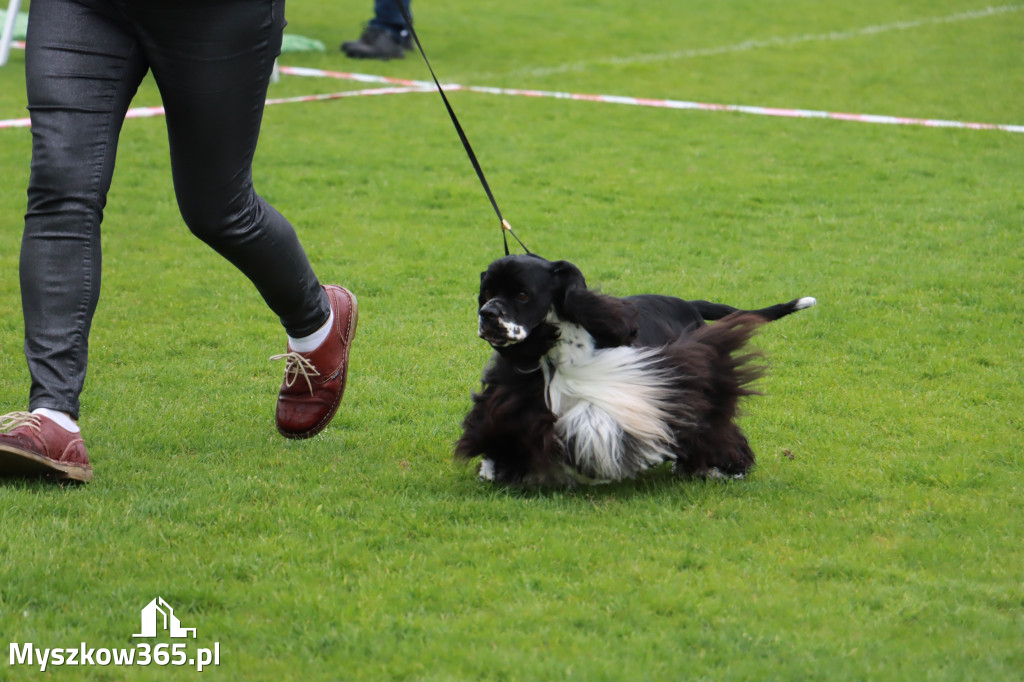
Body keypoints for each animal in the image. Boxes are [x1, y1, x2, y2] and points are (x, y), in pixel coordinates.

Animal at [456, 253, 815, 483]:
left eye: (522, 294)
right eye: (486, 293)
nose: (488, 315)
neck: (554, 348)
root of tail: (691, 304)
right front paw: (494, 466)